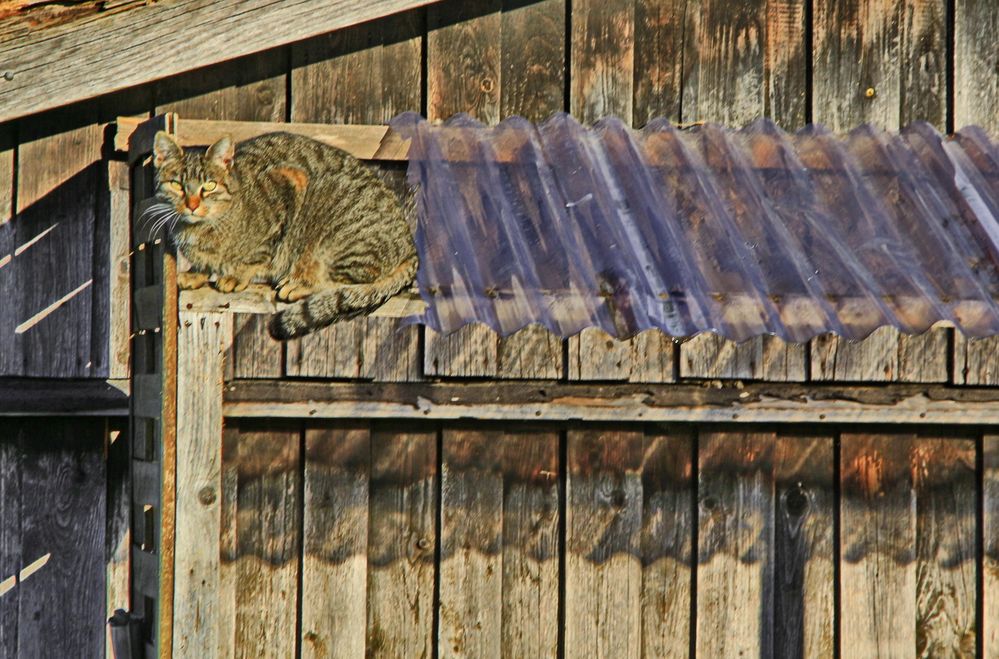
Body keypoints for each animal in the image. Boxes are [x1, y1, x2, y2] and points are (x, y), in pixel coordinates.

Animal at [150, 132, 420, 342]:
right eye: (177, 185)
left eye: (209, 186)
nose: (192, 205)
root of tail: (411, 247)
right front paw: (197, 272)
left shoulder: (291, 182)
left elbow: (258, 254)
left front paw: (236, 275)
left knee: (347, 283)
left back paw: (300, 284)